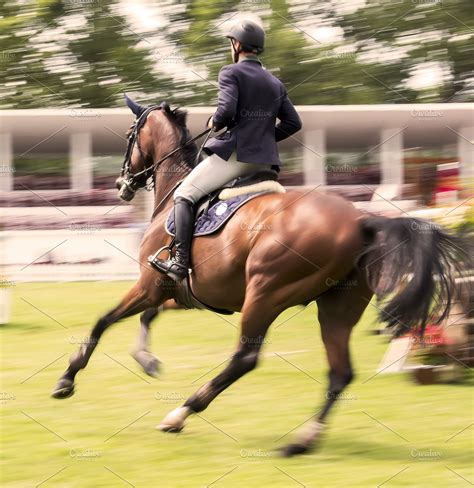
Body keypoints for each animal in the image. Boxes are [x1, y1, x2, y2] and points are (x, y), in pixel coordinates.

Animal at [51, 97, 466, 456]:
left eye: (128, 135)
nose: (121, 186)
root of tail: (361, 221)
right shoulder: (183, 294)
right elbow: (148, 316)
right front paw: (146, 359)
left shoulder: (150, 285)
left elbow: (103, 321)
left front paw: (67, 380)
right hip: (336, 307)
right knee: (340, 373)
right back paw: (303, 441)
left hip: (265, 293)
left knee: (245, 358)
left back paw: (180, 414)